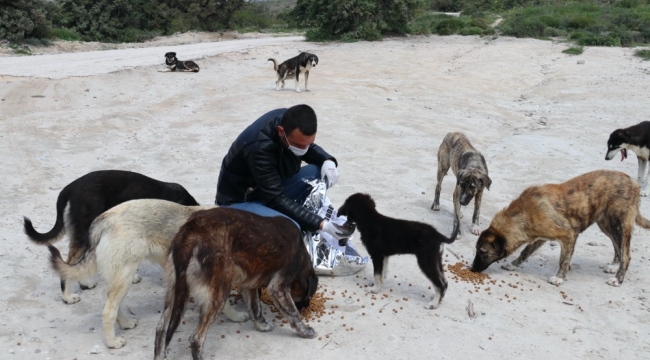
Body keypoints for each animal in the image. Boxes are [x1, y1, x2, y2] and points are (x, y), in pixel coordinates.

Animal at [154, 208, 316, 360]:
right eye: (306, 297)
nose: (306, 307)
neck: (301, 254)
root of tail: (192, 230)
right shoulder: (278, 287)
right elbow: (292, 313)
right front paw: (305, 331)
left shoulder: (249, 286)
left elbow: (255, 308)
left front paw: (262, 326)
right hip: (218, 293)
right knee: (196, 338)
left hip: (176, 292)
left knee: (161, 329)